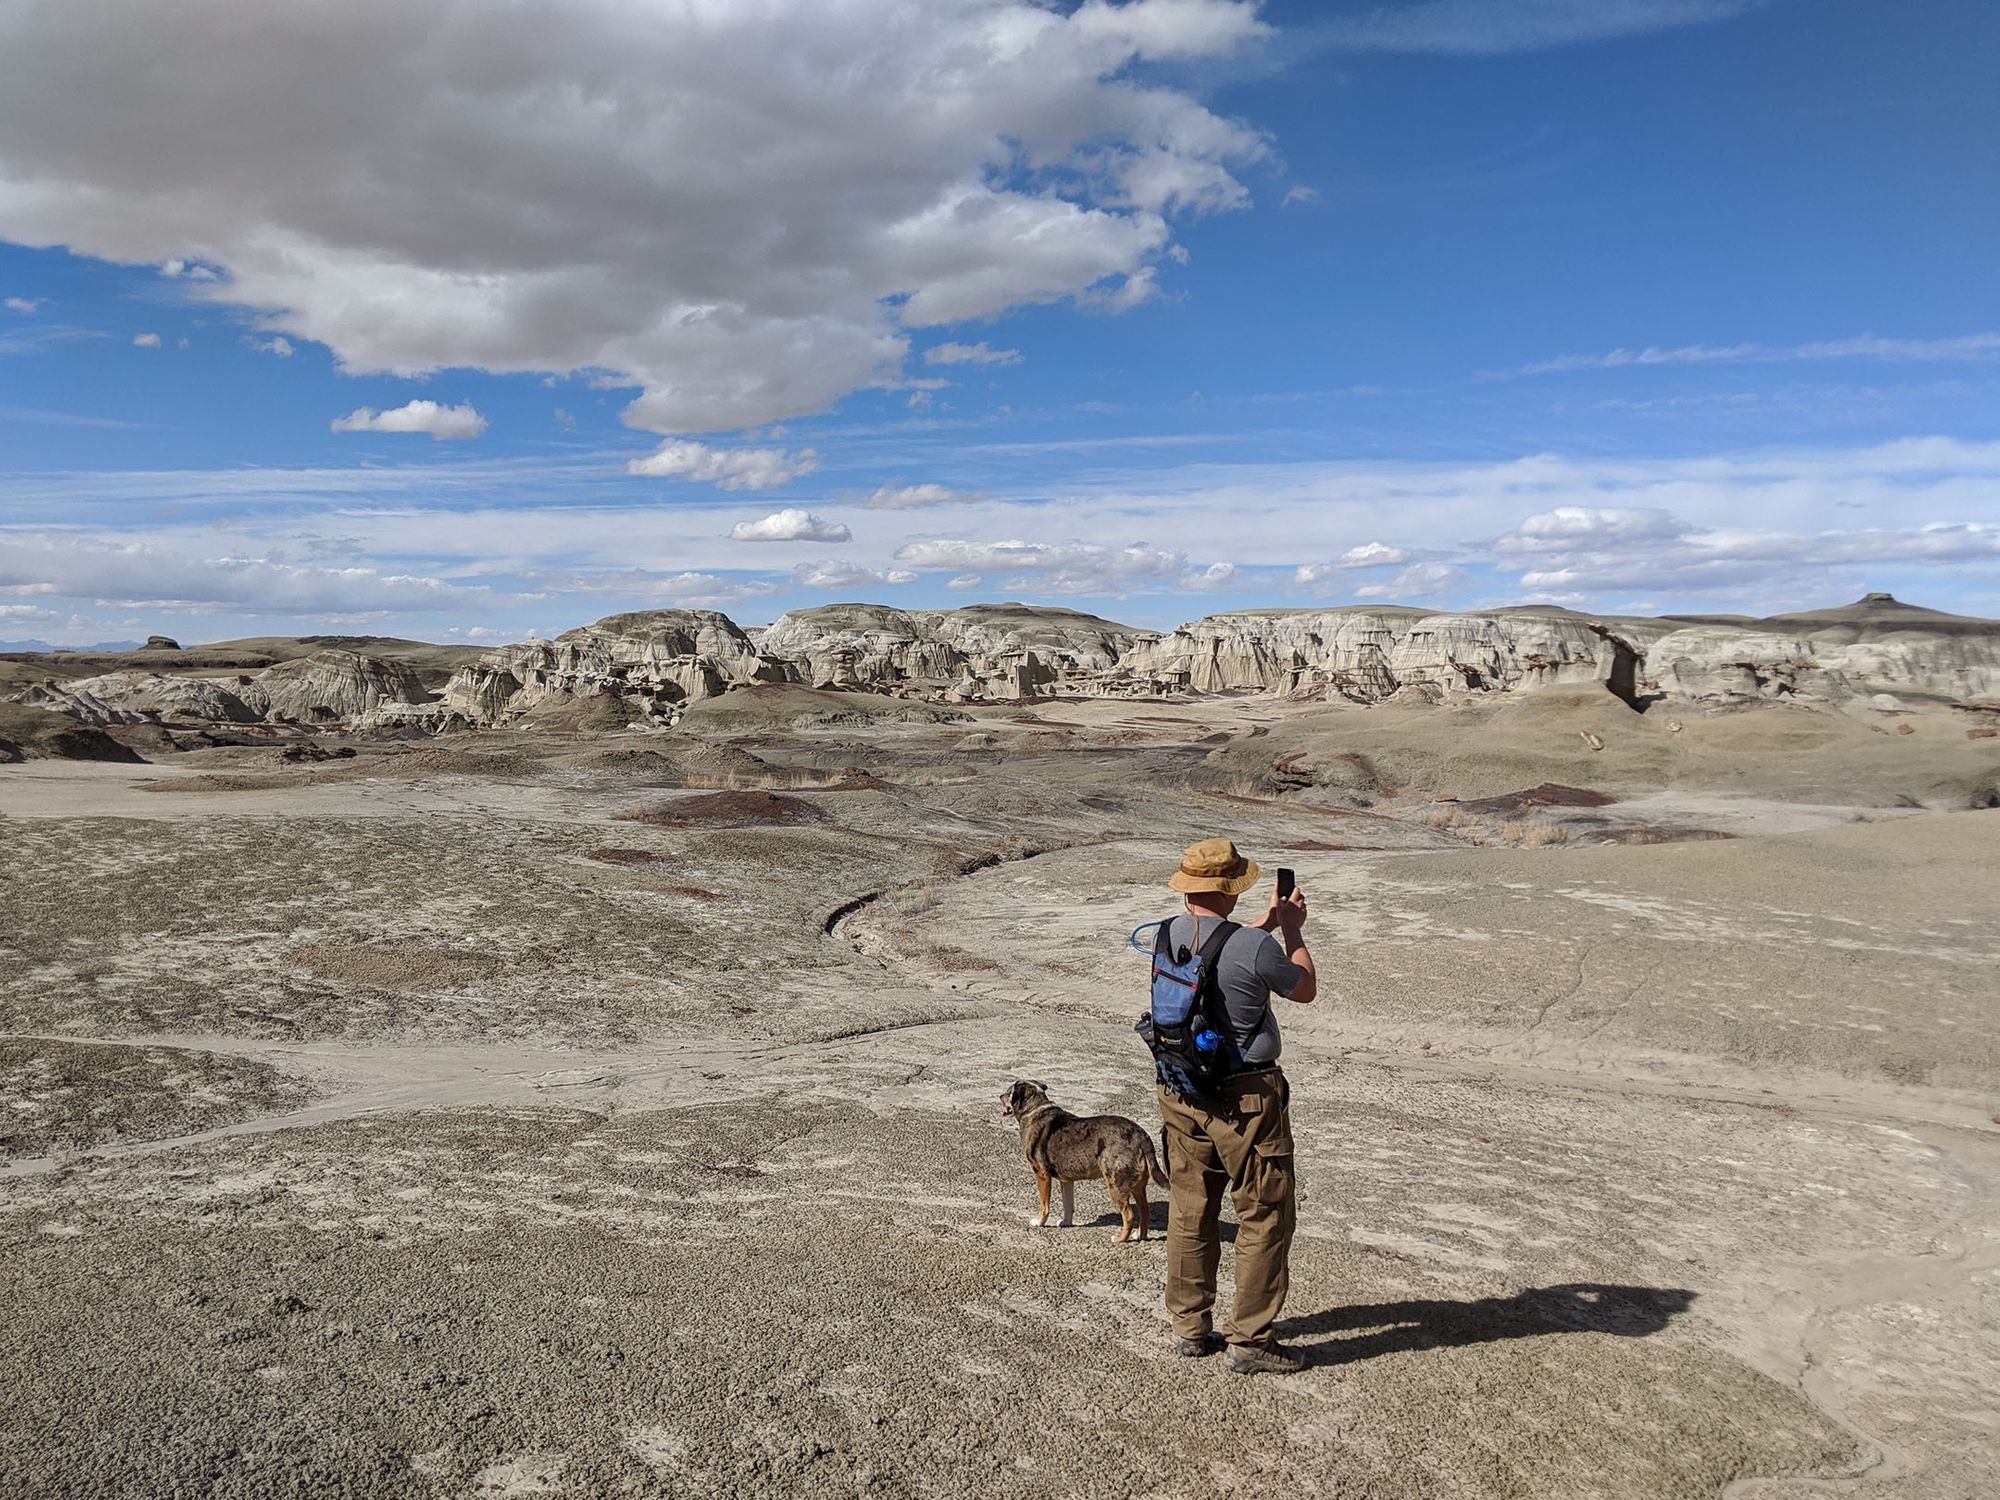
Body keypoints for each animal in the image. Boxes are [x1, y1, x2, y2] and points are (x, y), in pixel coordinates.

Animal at [1008, 1080, 1168, 1248]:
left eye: (1008, 1092)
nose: (1000, 1096)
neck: (1035, 1109)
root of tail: (1141, 1135)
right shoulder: (1067, 1181)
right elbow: (1068, 1205)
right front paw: (1066, 1223)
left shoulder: (1042, 1175)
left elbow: (1044, 1205)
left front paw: (1039, 1222)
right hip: (1137, 1186)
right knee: (1145, 1211)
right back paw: (1140, 1235)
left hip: (1116, 1185)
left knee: (1129, 1214)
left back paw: (1120, 1238)